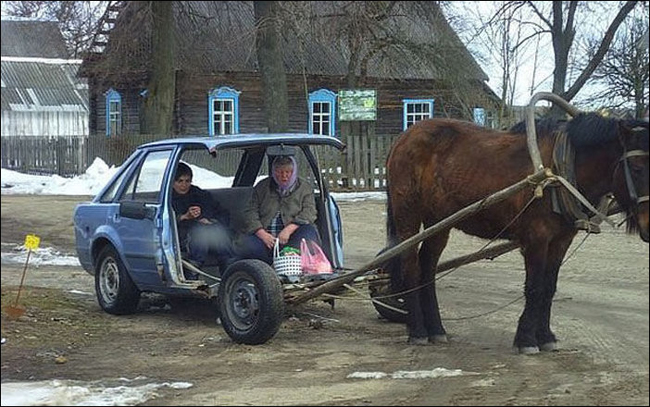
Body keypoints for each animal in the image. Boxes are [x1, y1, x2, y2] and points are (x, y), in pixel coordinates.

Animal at [382, 99, 644, 354]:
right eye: (637, 167)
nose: (647, 225)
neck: (558, 172)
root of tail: (403, 138)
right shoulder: (537, 238)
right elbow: (535, 287)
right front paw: (527, 339)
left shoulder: (561, 239)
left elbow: (549, 287)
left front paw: (545, 336)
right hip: (408, 215)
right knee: (411, 267)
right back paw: (418, 330)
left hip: (438, 221)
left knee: (427, 268)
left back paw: (436, 328)